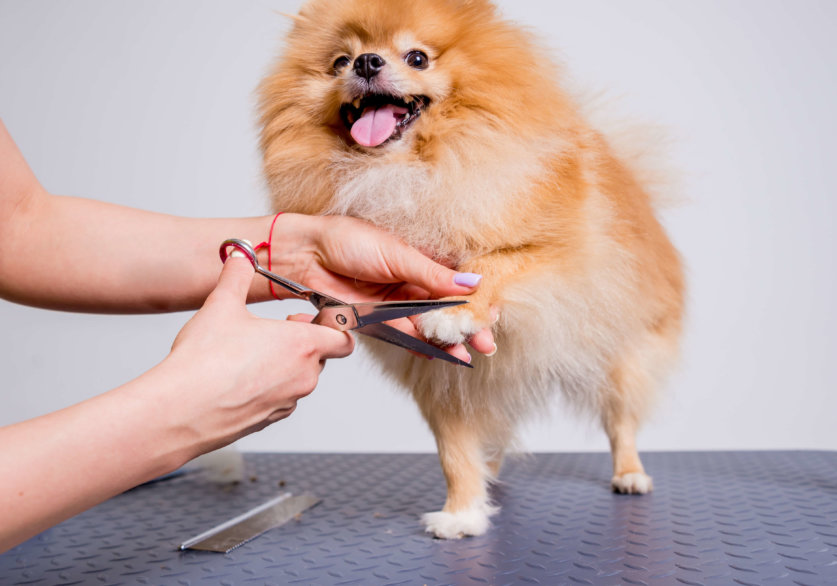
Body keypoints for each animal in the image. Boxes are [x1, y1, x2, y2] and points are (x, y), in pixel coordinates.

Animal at [258, 0, 684, 536]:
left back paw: (629, 473)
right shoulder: (443, 380)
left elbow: (494, 263)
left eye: (417, 57)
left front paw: (457, 311)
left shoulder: (562, 259)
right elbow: (454, 453)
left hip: (622, 359)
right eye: (340, 61)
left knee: (621, 422)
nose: (367, 63)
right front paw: (462, 514)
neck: (401, 170)